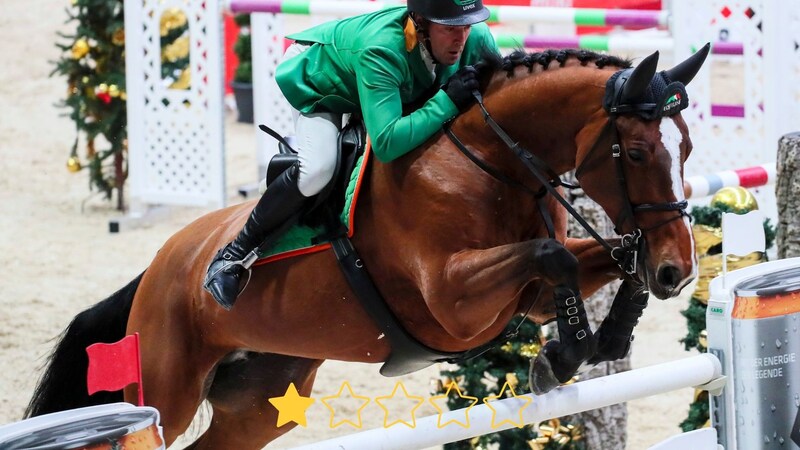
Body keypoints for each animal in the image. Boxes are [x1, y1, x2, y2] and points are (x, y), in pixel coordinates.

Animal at [23, 46, 708, 450]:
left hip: (261, 401)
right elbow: (554, 255)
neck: (492, 161)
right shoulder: (454, 303)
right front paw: (562, 357)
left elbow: (602, 259)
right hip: (165, 387)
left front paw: (605, 336)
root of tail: (158, 268)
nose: (679, 269)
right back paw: (225, 271)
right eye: (638, 152)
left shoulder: (527, 298)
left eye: (688, 148)